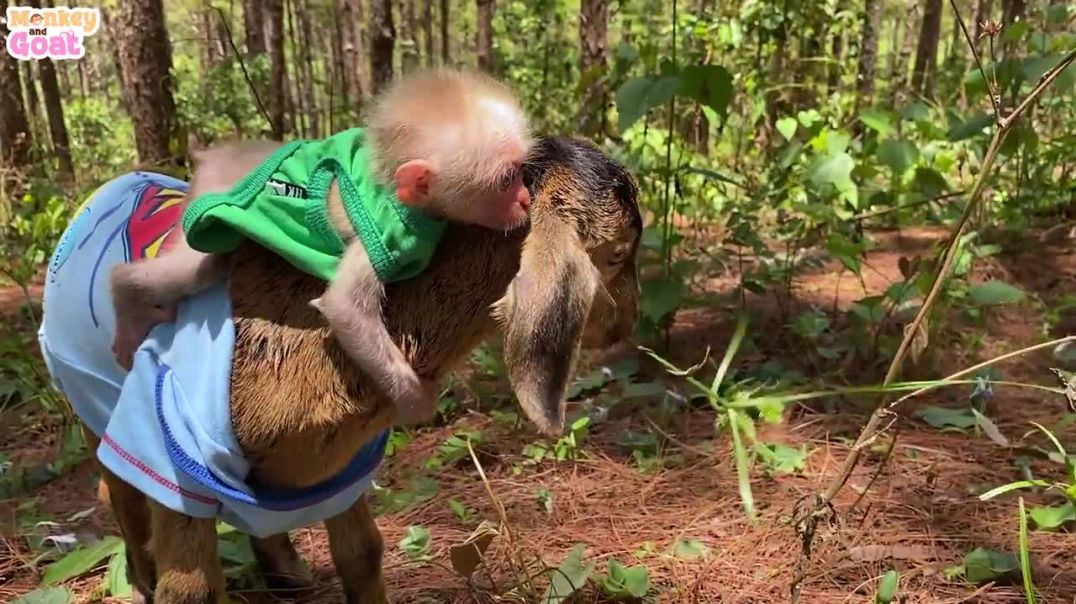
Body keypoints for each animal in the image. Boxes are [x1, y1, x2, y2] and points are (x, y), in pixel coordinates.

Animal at [109, 68, 533, 425]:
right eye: (506, 180)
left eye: (520, 172)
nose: (526, 200)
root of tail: (216, 154)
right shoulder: (384, 234)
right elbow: (344, 308)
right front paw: (415, 402)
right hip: (208, 204)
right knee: (192, 269)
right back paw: (125, 299)